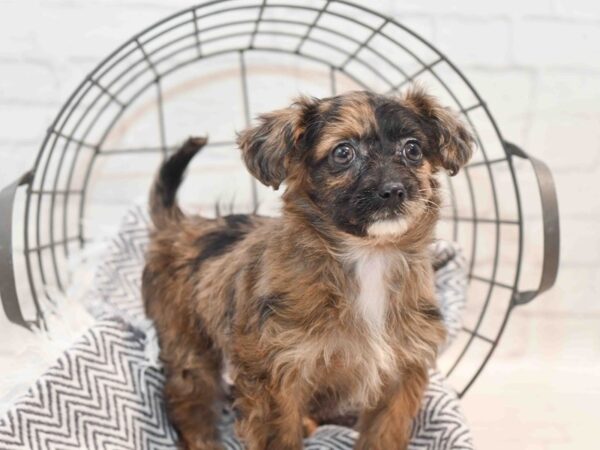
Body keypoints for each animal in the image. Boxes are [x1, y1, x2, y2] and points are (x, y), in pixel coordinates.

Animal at [144, 88, 474, 450]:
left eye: (413, 149)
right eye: (343, 152)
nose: (394, 190)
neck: (368, 257)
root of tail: (181, 225)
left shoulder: (400, 376)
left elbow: (382, 435)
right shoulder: (275, 376)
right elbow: (279, 438)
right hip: (189, 347)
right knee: (190, 403)